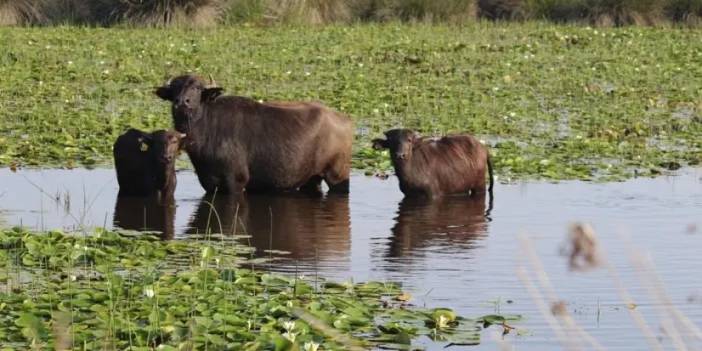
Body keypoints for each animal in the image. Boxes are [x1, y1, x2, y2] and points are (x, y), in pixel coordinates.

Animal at [153, 75, 352, 195]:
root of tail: (344, 119)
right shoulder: (209, 183)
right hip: (312, 179)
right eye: (175, 88)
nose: (182, 102)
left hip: (338, 176)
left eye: (197, 88)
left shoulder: (236, 181)